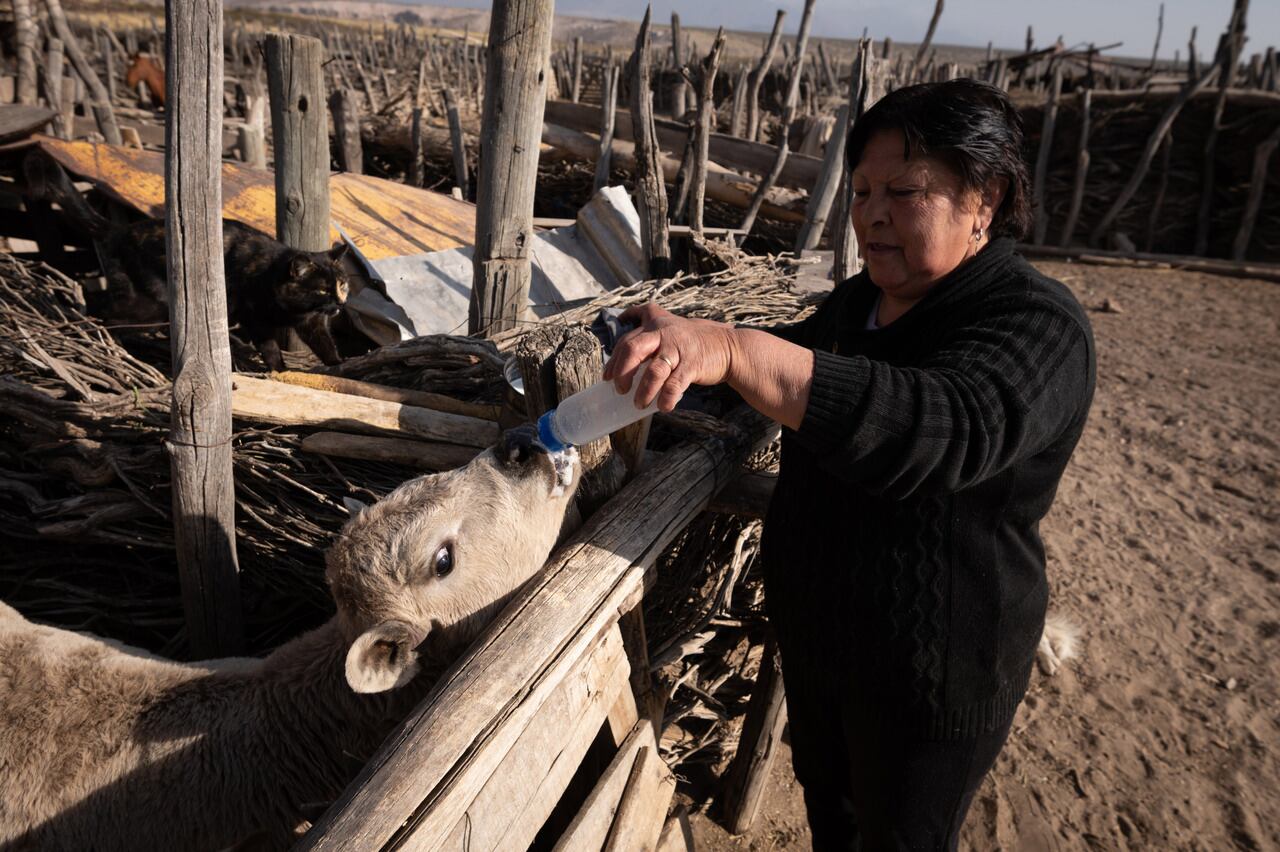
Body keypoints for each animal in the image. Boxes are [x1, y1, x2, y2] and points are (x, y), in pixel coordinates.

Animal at [24, 153, 353, 370]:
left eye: (342, 286)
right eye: (322, 290)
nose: (338, 303)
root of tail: (122, 230)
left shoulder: (312, 323)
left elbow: (324, 343)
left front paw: (337, 362)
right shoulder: (254, 316)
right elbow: (270, 348)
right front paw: (280, 371)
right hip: (156, 302)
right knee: (107, 313)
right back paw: (110, 342)